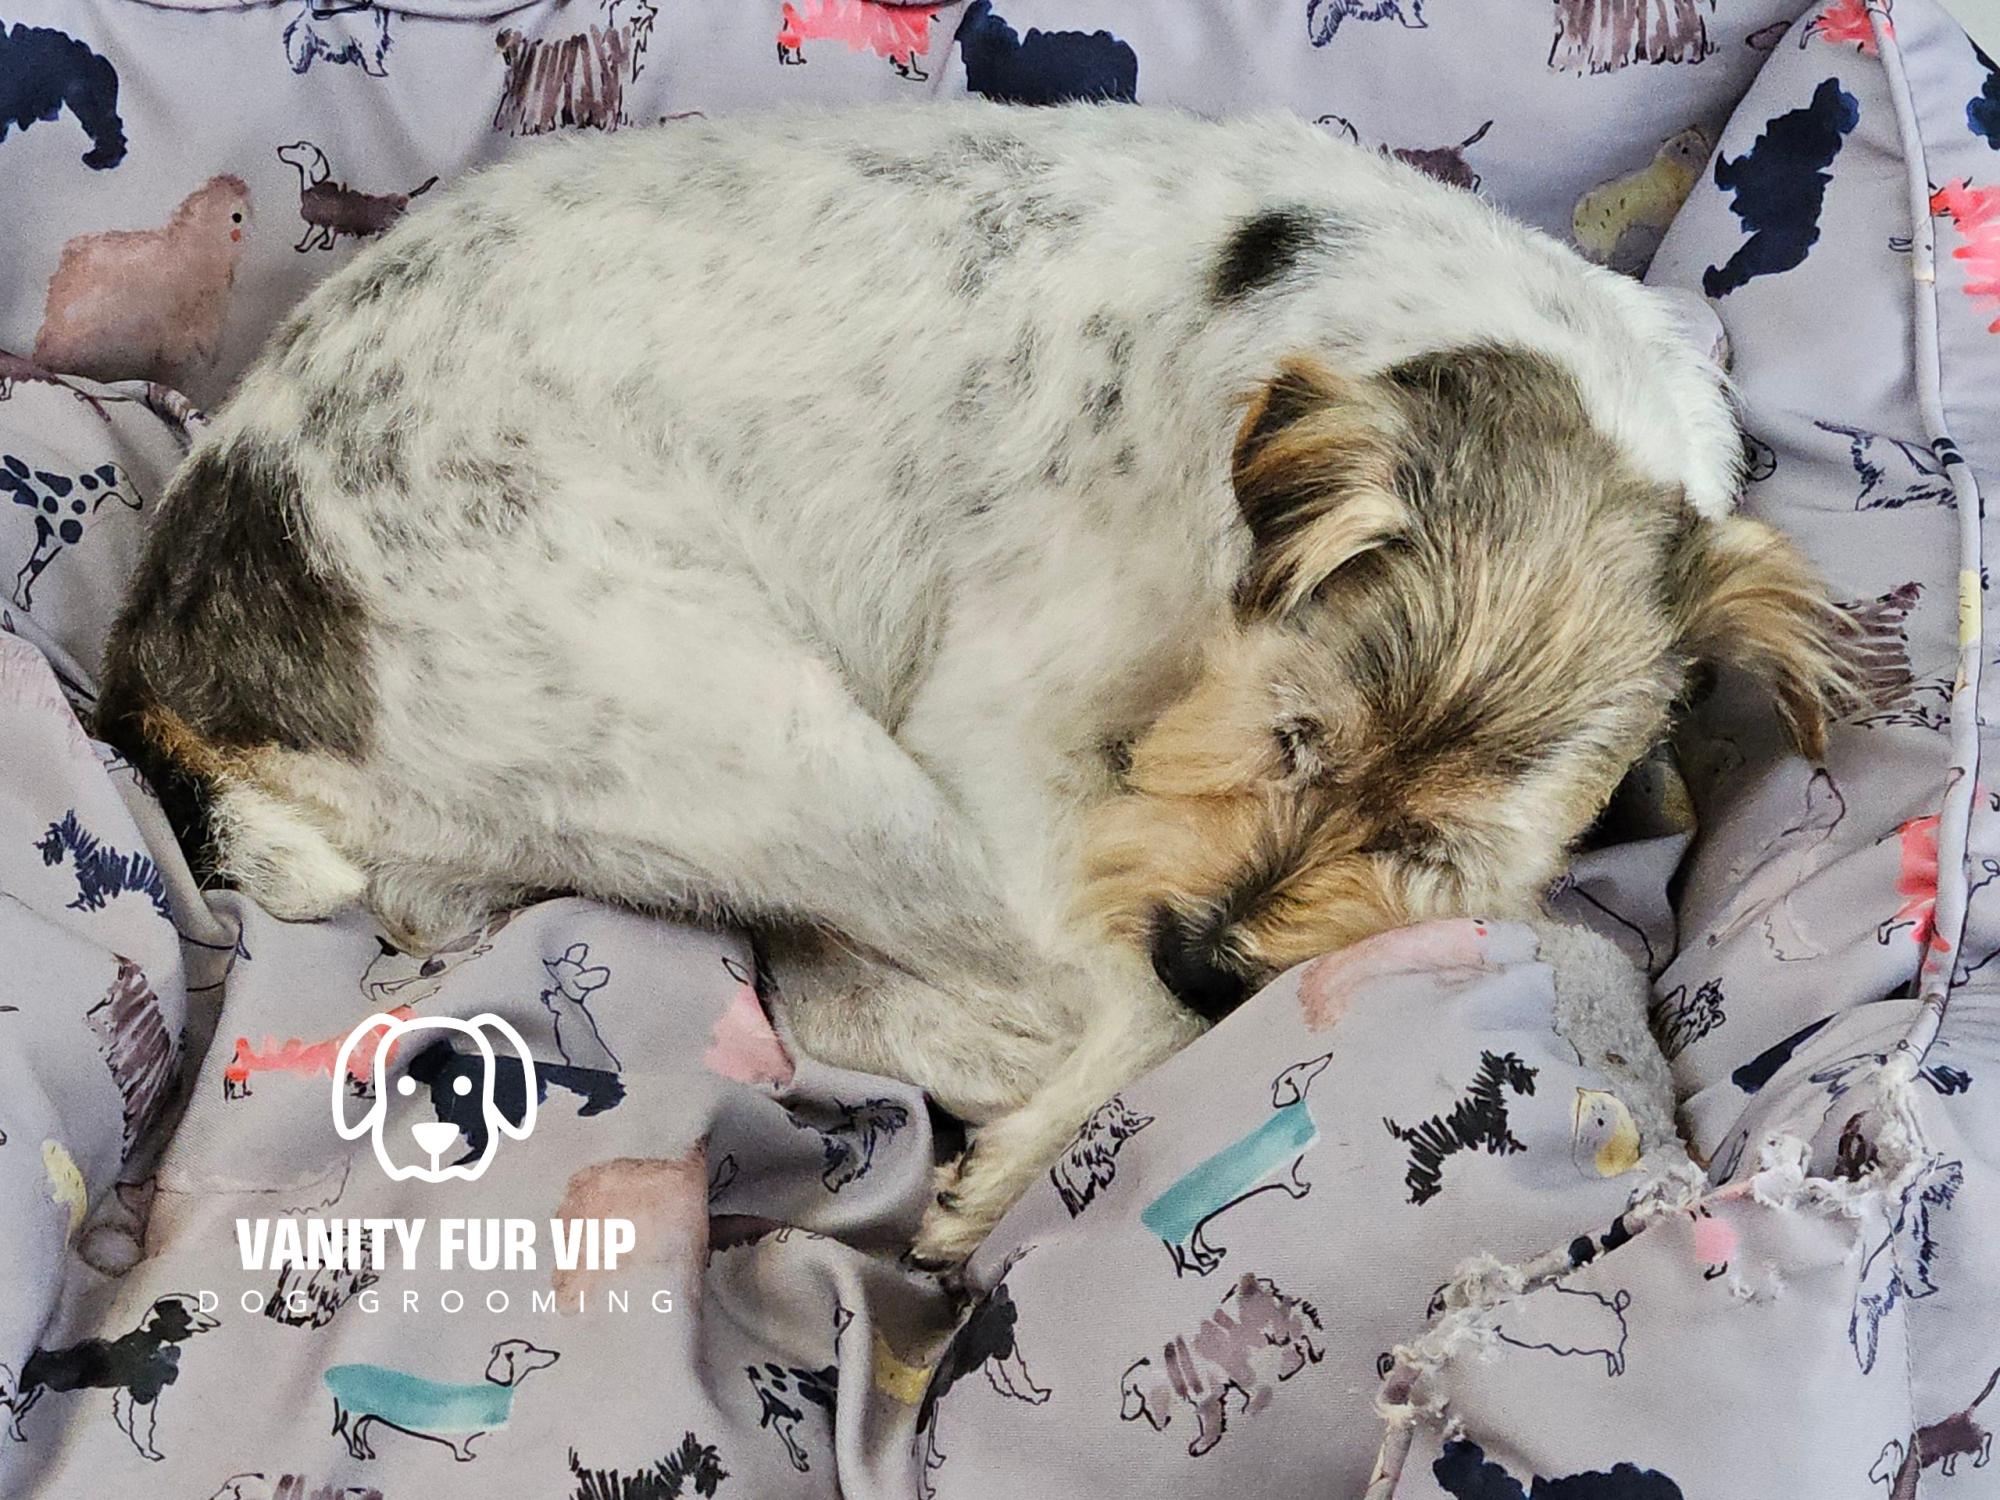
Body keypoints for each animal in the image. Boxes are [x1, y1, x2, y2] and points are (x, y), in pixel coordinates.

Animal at [1, 1293, 220, 1461]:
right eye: (190, 1311)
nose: (214, 1323)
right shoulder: (142, 1393)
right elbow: (141, 1423)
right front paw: (149, 1452)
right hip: (30, 1389)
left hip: (35, 1391)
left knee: (19, 1413)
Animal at [98, 104, 1862, 1262]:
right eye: (1289, 734)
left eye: (1435, 849)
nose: (1219, 955)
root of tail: (169, 667)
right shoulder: (1000, 744)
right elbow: (1116, 985)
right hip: (778, 749)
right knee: (896, 992)